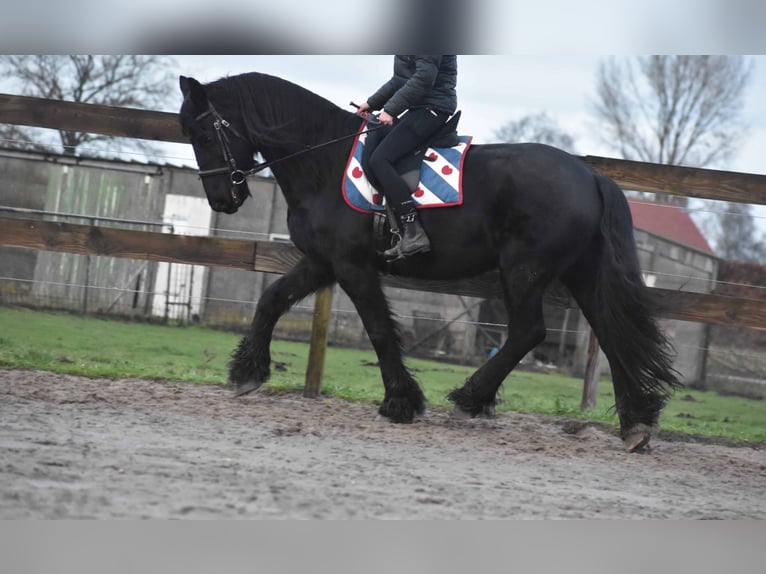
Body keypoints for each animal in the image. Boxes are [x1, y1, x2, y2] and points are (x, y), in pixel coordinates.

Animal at [178, 72, 681, 452]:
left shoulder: (352, 265)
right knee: (611, 332)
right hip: (581, 273)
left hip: (525, 268)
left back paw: (470, 397)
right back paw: (635, 423)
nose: (222, 199)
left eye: (203, 133)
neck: (322, 159)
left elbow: (379, 329)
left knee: (529, 331)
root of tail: (592, 176)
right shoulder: (323, 262)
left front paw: (401, 403)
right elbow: (271, 300)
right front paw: (247, 373)